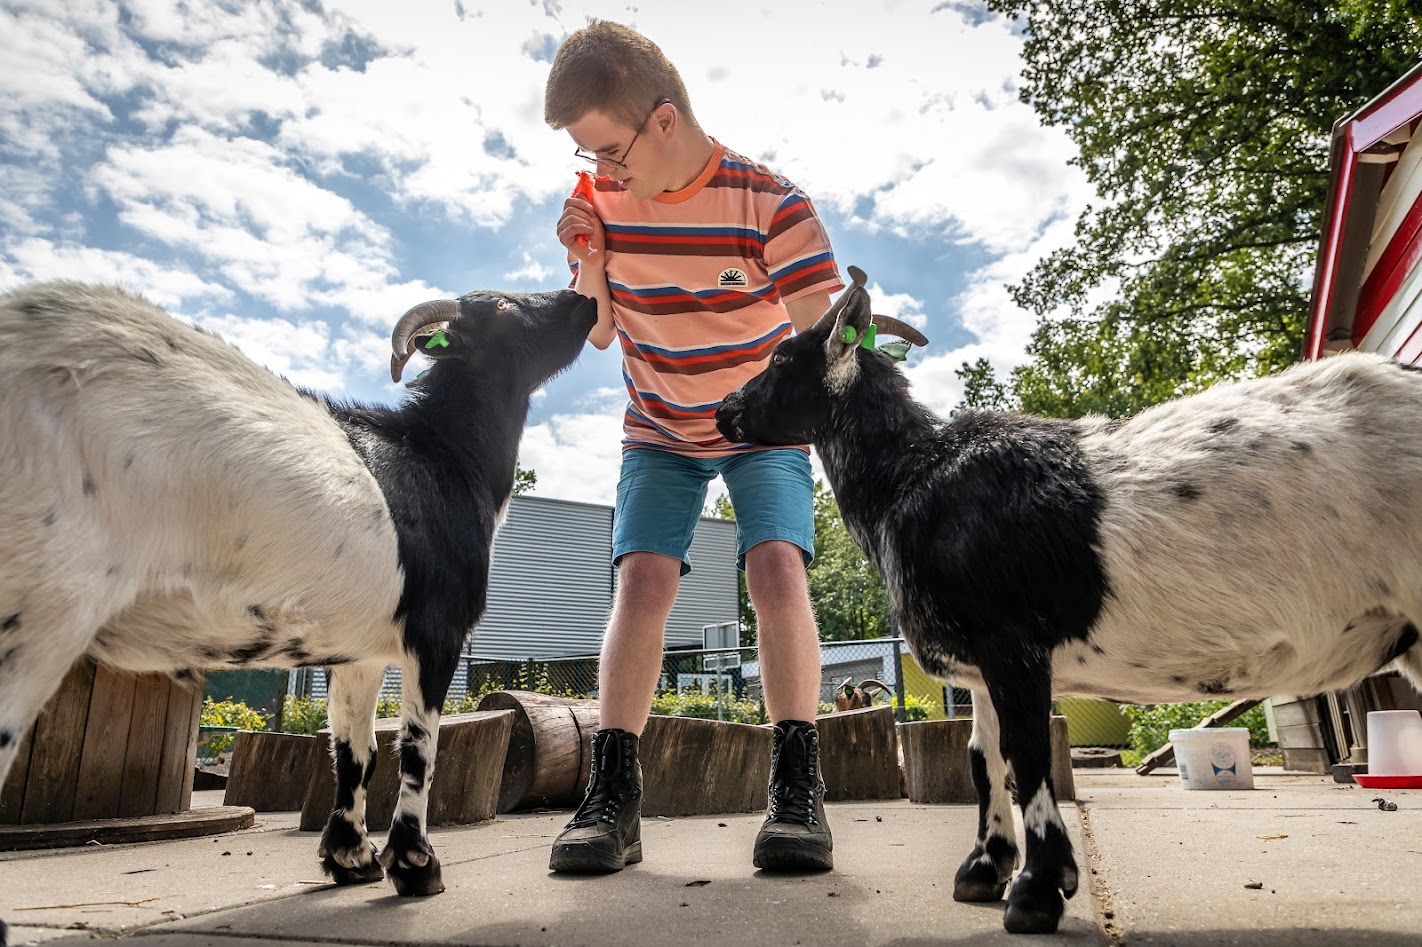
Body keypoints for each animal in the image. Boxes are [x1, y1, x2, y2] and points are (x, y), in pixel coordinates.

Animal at [0, 280, 594, 910]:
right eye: (502, 305)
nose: (582, 299)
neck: (441, 457)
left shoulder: (359, 652)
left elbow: (357, 752)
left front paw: (351, 858)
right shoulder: (436, 629)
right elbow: (417, 748)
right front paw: (415, 865)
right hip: (43, 597)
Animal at [716, 263, 1422, 927]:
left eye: (780, 358)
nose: (723, 410)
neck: (912, 475)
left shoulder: (1014, 644)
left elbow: (1027, 756)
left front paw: (1038, 890)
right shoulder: (982, 666)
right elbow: (982, 758)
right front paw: (985, 868)